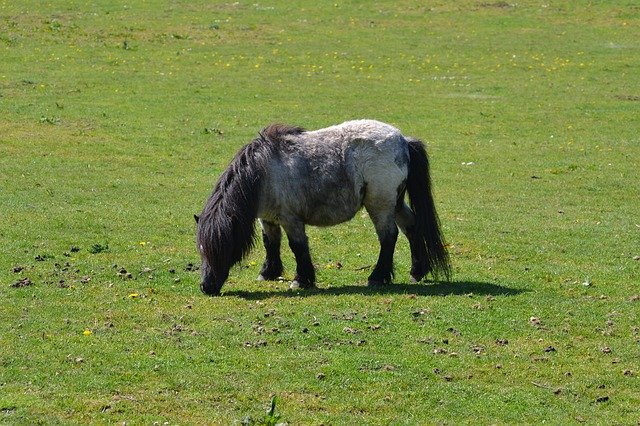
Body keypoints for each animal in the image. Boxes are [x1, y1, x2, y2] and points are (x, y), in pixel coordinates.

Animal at [195, 118, 450, 294]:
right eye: (201, 250)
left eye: (222, 248)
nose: (206, 287)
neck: (263, 172)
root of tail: (403, 140)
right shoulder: (267, 218)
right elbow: (271, 244)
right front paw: (268, 273)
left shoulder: (291, 219)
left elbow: (297, 246)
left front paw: (301, 280)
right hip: (395, 203)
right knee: (412, 228)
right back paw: (417, 271)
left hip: (380, 204)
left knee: (389, 237)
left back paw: (377, 277)